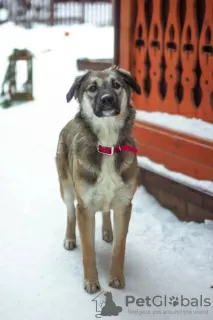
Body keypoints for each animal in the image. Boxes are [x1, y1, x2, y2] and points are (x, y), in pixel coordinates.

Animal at [55, 66, 141, 294]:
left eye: (116, 85)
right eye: (92, 88)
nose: (107, 99)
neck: (107, 144)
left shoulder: (124, 204)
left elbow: (120, 247)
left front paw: (117, 277)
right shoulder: (85, 208)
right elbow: (88, 250)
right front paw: (91, 282)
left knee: (105, 211)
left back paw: (107, 231)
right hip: (66, 188)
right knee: (70, 213)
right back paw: (69, 238)